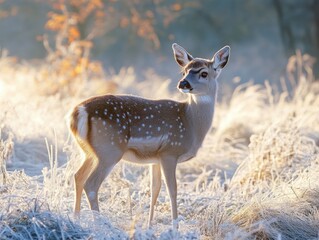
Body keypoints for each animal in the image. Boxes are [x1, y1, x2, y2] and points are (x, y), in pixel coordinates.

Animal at [69, 43, 231, 229]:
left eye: (204, 73)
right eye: (184, 71)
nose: (183, 83)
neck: (191, 124)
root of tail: (79, 111)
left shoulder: (155, 158)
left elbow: (155, 189)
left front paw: (149, 225)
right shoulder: (170, 151)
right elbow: (172, 190)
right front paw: (175, 227)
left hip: (89, 151)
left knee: (78, 176)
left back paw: (76, 219)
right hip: (109, 150)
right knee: (91, 184)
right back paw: (100, 224)